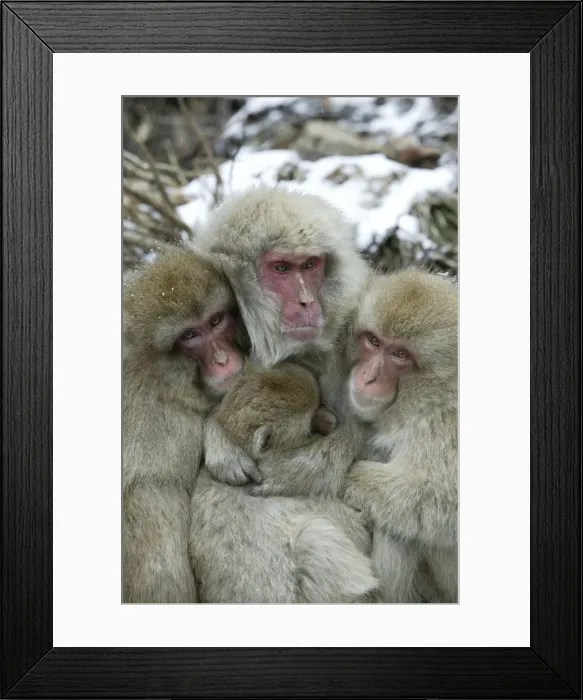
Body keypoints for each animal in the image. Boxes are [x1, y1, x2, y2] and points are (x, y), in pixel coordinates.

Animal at [189, 362, 378, 603]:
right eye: (309, 426)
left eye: (320, 400)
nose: (331, 420)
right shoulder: (272, 465)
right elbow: (318, 468)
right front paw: (356, 428)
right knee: (313, 538)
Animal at [341, 269, 458, 603]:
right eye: (373, 341)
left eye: (400, 354)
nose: (368, 377)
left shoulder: (445, 425)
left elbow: (443, 498)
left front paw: (353, 478)